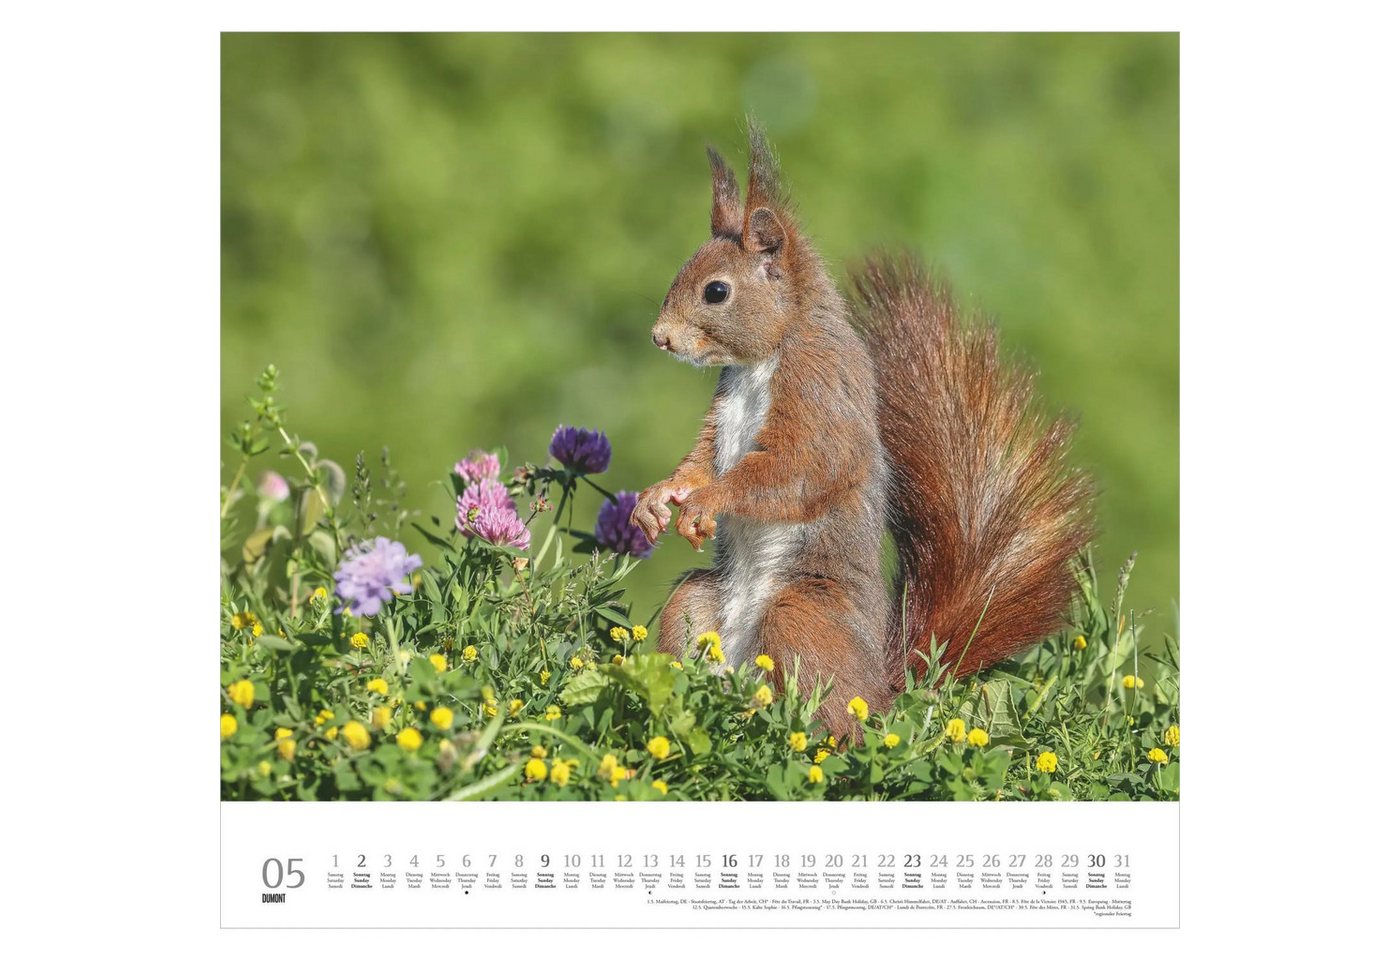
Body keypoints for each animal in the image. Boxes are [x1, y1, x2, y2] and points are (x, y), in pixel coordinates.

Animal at [629, 121, 1094, 736]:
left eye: (716, 291)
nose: (659, 338)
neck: (768, 354)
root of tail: (880, 688)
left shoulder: (819, 396)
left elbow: (798, 470)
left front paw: (707, 501)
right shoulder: (721, 413)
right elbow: (702, 459)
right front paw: (658, 498)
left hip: (801, 616)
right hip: (700, 603)